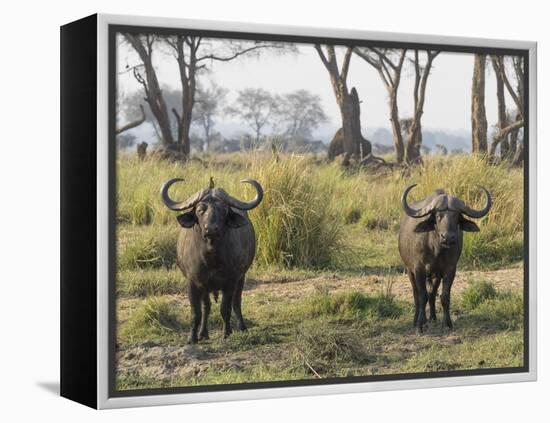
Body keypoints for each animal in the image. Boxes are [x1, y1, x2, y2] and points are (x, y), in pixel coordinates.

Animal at [162, 177, 266, 342]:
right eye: (200, 210)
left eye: (223, 210)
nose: (211, 229)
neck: (211, 257)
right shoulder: (193, 283)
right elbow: (196, 313)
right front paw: (192, 337)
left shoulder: (231, 281)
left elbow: (225, 308)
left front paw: (227, 332)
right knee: (207, 307)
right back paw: (203, 333)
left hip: (241, 278)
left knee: (237, 302)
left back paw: (242, 327)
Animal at [398, 186, 494, 334]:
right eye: (438, 216)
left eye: (456, 216)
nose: (448, 237)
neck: (436, 249)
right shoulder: (418, 270)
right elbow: (421, 296)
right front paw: (419, 325)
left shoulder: (449, 270)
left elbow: (444, 296)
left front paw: (447, 323)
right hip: (409, 271)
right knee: (416, 294)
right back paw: (418, 320)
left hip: (435, 276)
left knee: (432, 294)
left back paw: (432, 318)